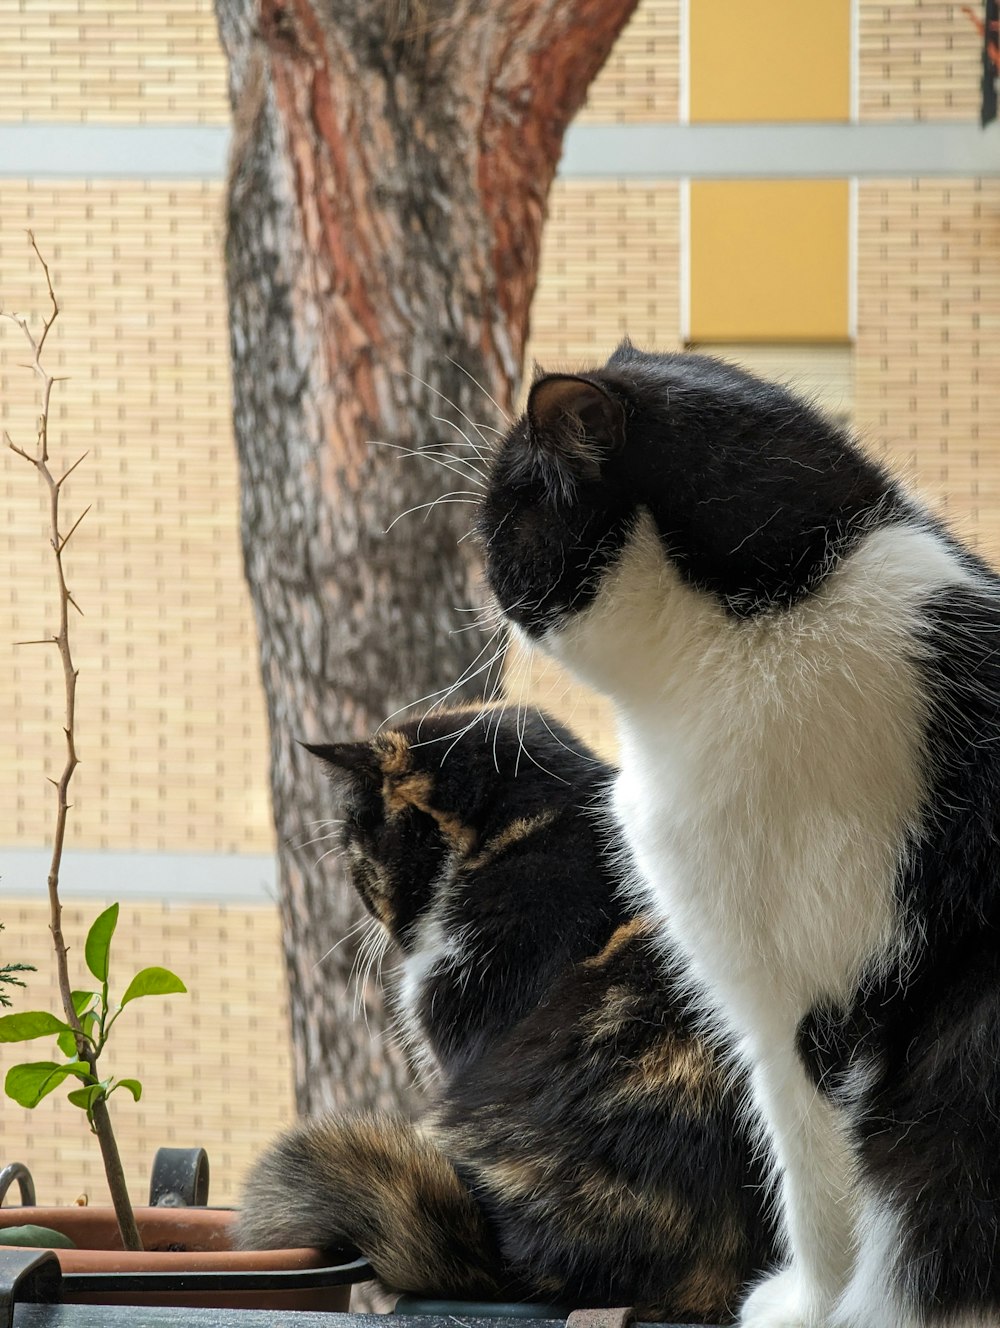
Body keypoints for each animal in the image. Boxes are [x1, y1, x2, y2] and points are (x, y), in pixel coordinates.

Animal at [472, 342, 998, 1328]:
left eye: (498, 519)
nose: (479, 573)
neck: (788, 602)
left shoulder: (800, 1008)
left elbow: (816, 1185)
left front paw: (807, 1307)